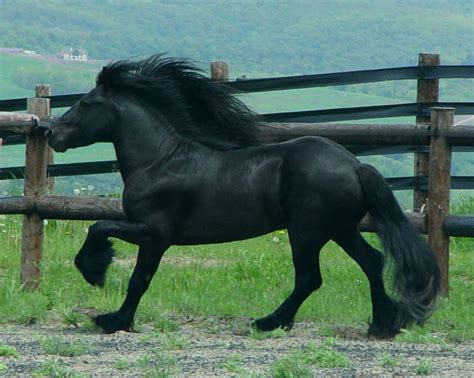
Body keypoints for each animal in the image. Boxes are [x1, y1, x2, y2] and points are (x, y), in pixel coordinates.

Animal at [41, 54, 440, 336]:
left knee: (310, 278)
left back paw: (267, 322)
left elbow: (124, 259)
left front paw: (105, 300)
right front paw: (109, 302)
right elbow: (113, 243)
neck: (160, 161)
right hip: (340, 229)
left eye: (87, 103)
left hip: (307, 231)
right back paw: (382, 324)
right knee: (372, 262)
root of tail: (354, 165)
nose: (50, 133)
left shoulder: (155, 233)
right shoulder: (145, 230)